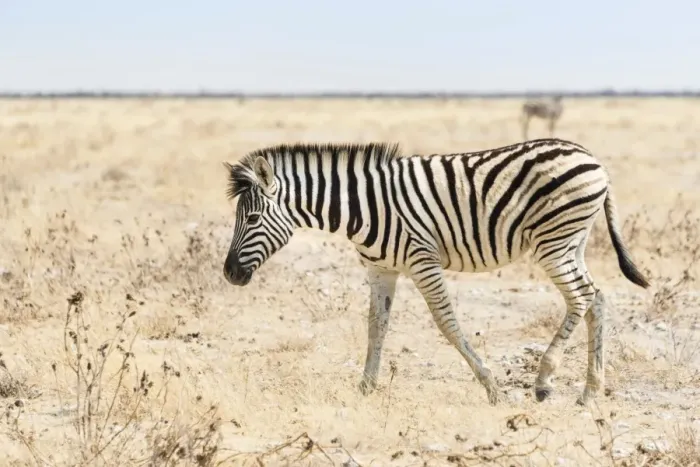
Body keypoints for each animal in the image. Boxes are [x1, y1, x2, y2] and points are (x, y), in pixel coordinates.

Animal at [222, 138, 649, 406]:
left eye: (253, 218)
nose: (229, 274)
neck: (363, 207)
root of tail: (593, 158)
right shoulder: (381, 269)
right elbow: (376, 325)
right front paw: (365, 387)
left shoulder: (422, 261)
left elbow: (447, 323)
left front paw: (491, 387)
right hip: (572, 240)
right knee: (597, 298)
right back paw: (590, 392)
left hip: (554, 241)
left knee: (581, 296)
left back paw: (545, 381)